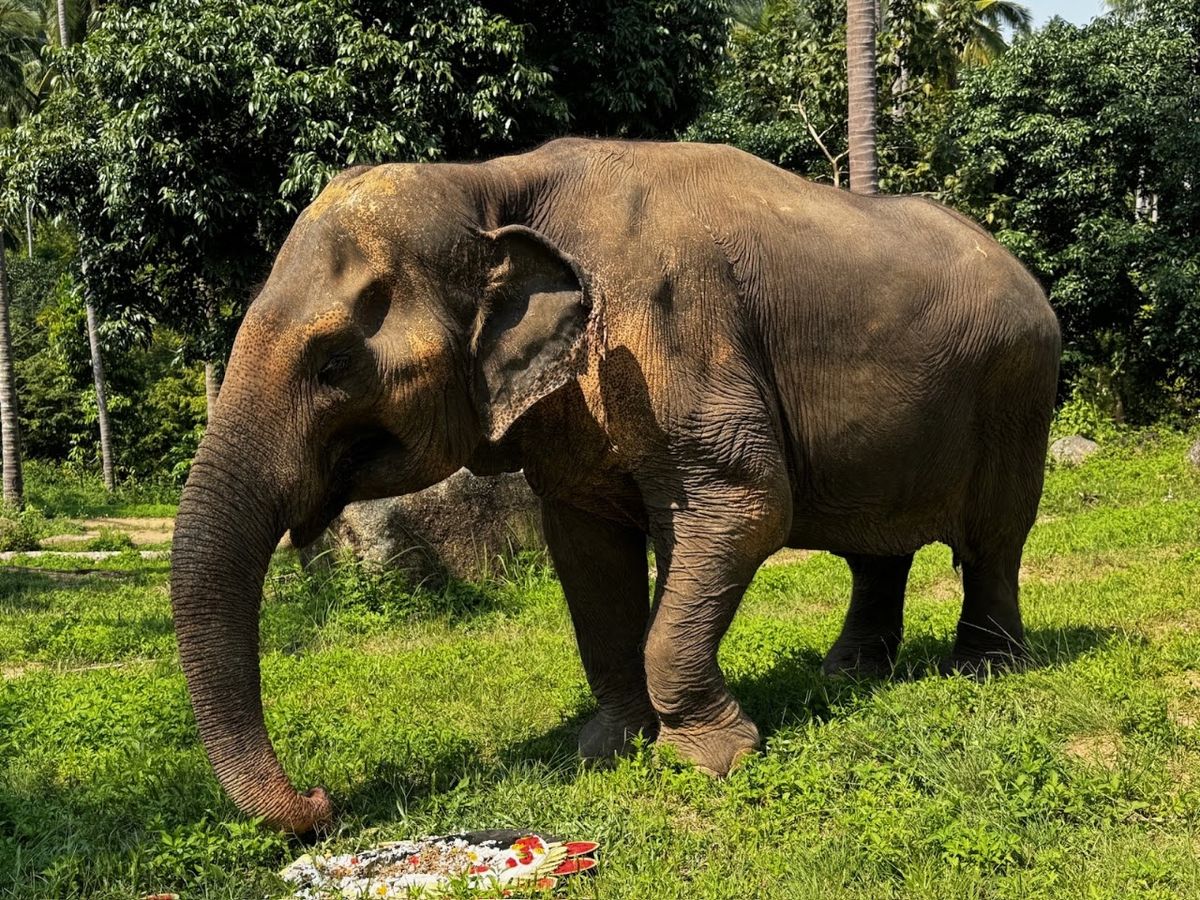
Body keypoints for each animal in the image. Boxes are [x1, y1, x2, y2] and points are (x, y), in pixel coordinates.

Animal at [170, 138, 1060, 833]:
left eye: (333, 365)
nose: (320, 802)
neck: (489, 179)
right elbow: (585, 547)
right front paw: (610, 747)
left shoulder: (679, 332)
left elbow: (745, 505)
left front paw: (710, 761)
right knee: (876, 547)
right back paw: (845, 674)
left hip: (1019, 390)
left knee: (993, 538)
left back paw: (984, 670)